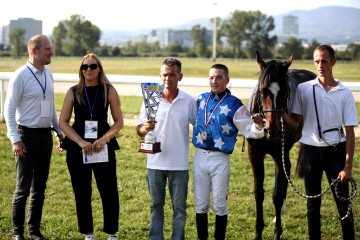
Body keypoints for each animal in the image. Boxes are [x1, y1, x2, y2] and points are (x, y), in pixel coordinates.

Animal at [246, 52, 316, 240]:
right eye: (263, 90)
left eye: (285, 91)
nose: (273, 128)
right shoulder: (255, 154)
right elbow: (259, 193)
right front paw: (258, 232)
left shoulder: (280, 156)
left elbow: (277, 195)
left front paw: (277, 232)